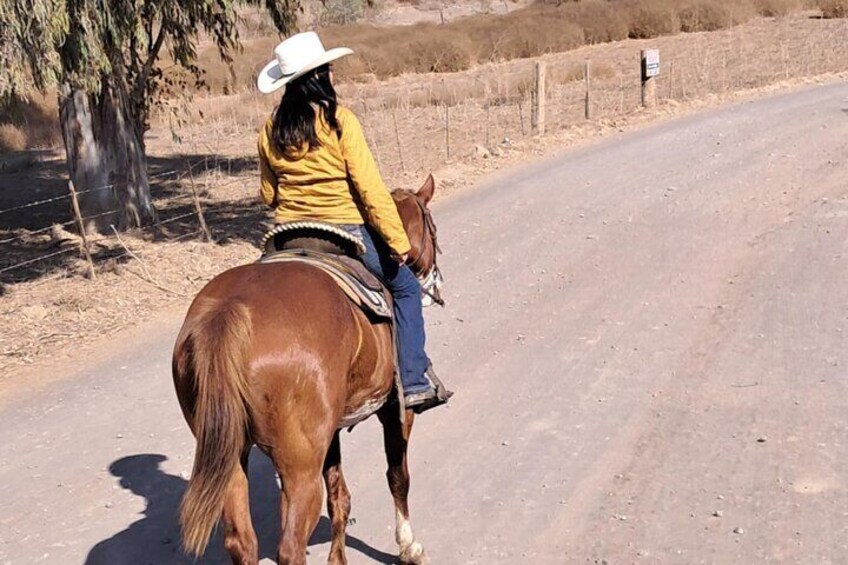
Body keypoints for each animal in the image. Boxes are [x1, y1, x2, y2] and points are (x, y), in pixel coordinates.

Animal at [170, 176, 440, 564]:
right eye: (432, 229)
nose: (435, 280)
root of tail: (228, 311)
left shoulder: (330, 431)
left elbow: (340, 497)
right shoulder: (395, 410)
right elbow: (397, 475)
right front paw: (408, 546)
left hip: (231, 455)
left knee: (242, 541)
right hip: (299, 466)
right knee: (290, 545)